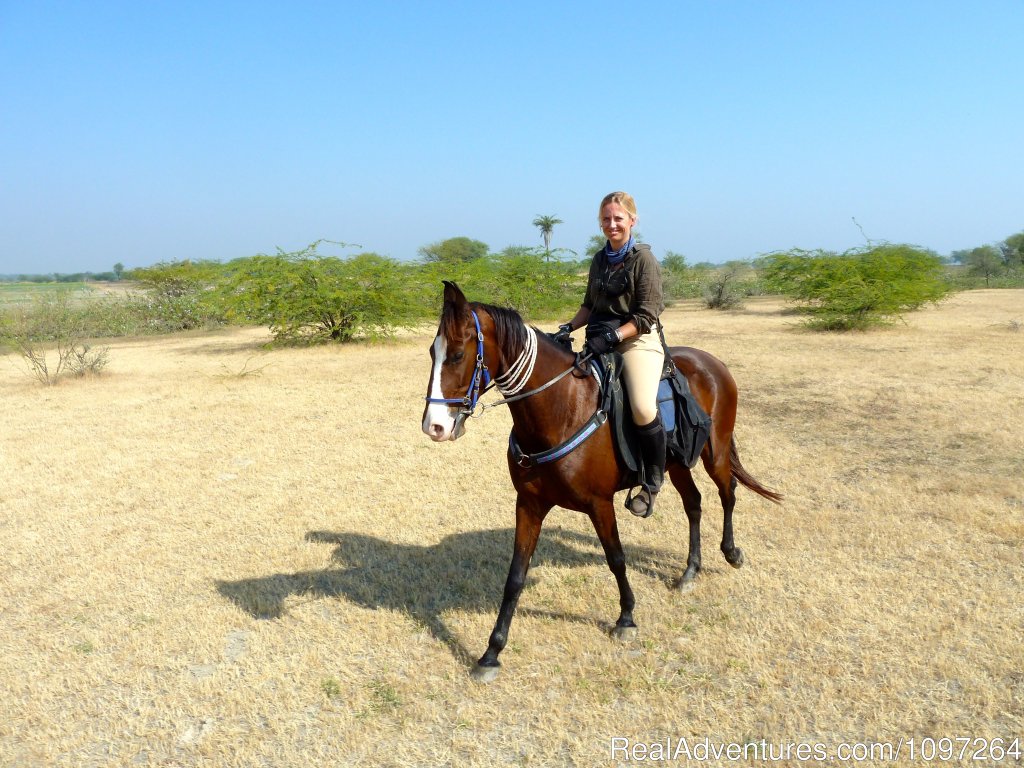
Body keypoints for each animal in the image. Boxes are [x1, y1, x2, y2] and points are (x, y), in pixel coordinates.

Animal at [419, 280, 778, 679]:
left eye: (457, 354)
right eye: (432, 352)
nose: (434, 426)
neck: (562, 408)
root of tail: (713, 363)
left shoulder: (599, 504)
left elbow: (616, 558)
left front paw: (626, 618)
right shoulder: (529, 504)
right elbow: (515, 576)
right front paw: (491, 653)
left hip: (714, 453)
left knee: (728, 493)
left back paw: (731, 553)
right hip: (676, 464)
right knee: (694, 504)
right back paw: (689, 572)